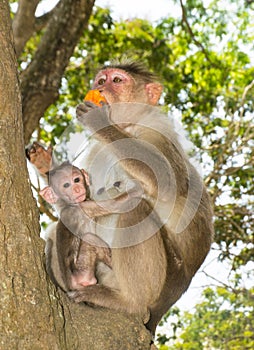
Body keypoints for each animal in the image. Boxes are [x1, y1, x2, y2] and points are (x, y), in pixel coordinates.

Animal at [40, 161, 142, 292]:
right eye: (66, 185)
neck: (67, 204)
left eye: (77, 179)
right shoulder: (84, 207)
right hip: (81, 270)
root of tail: (71, 286)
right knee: (90, 238)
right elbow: (115, 205)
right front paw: (139, 188)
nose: (77, 189)